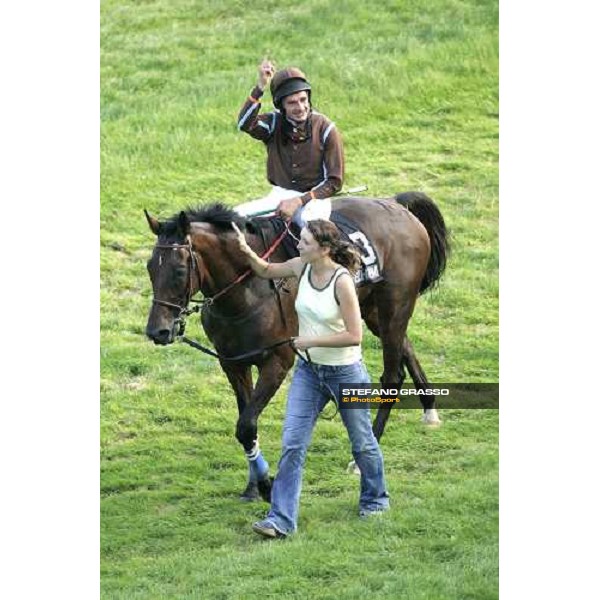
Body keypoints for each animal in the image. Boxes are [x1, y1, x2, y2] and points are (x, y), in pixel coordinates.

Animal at [144, 193, 446, 502]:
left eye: (180, 269)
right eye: (150, 267)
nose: (158, 331)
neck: (246, 291)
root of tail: (396, 203)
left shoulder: (277, 360)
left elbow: (246, 425)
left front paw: (266, 486)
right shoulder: (233, 362)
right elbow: (246, 423)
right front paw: (253, 485)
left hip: (394, 307)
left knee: (392, 376)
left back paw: (360, 458)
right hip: (371, 309)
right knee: (406, 348)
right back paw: (429, 410)